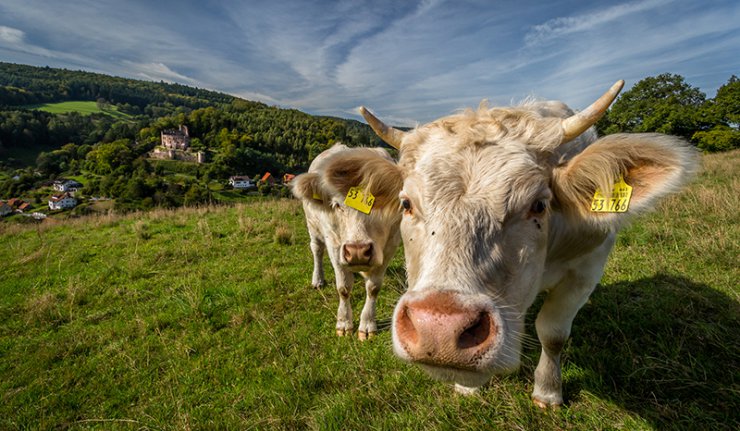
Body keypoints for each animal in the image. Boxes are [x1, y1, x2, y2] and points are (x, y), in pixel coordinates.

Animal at [290, 145, 404, 340]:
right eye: (337, 205)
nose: (357, 251)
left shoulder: (391, 245)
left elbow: (373, 287)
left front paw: (367, 324)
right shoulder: (335, 246)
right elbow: (343, 287)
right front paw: (344, 323)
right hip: (312, 225)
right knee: (316, 250)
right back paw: (318, 279)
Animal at [362, 82, 696, 408]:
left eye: (538, 205)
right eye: (406, 204)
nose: (438, 329)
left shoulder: (587, 270)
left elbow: (553, 333)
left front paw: (548, 392)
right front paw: (467, 388)